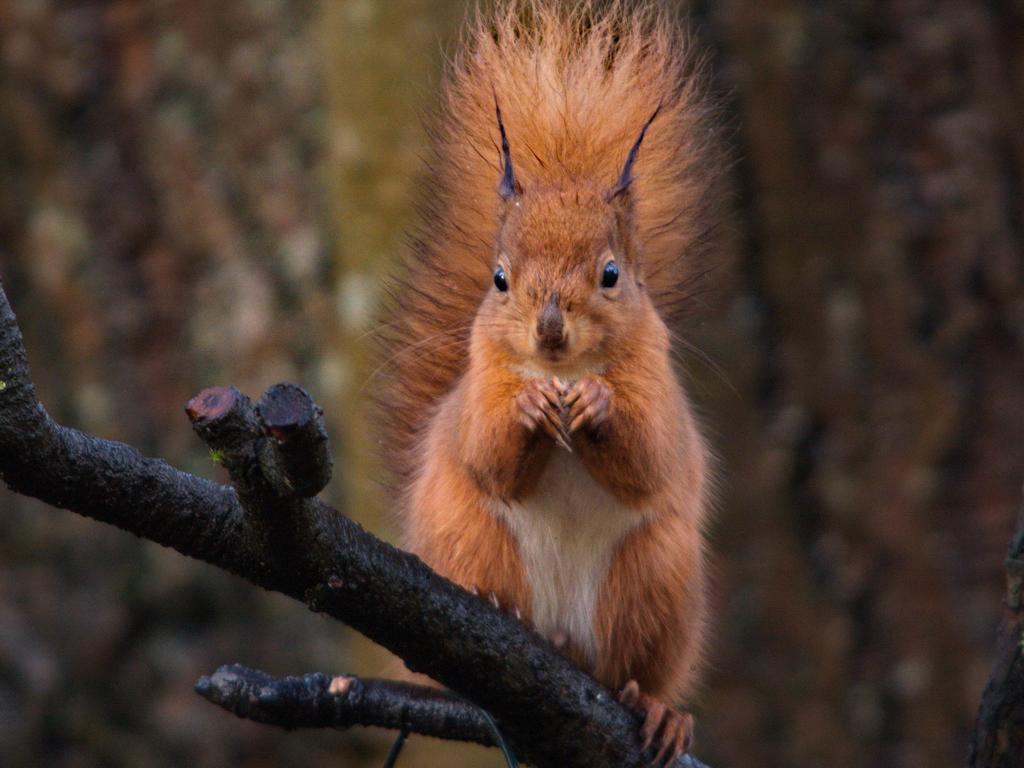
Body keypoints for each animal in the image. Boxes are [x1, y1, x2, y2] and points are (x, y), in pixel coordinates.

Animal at [374, 4, 720, 765]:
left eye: (611, 274)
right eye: (500, 278)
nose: (550, 330)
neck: (563, 371)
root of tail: (564, 643)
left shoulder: (660, 391)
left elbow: (649, 458)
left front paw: (596, 404)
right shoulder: (477, 391)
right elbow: (488, 453)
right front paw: (533, 405)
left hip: (655, 584)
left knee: (634, 671)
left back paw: (660, 712)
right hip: (472, 538)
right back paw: (500, 608)